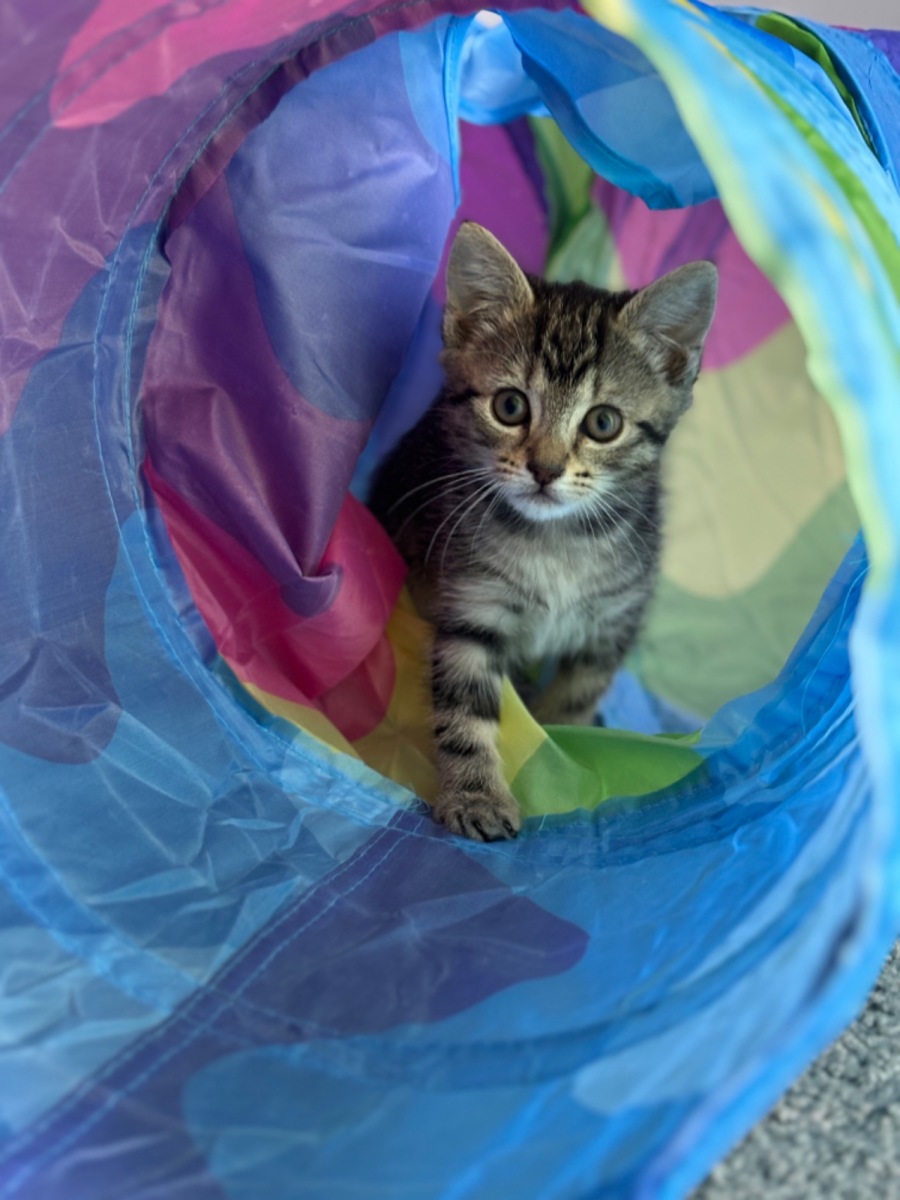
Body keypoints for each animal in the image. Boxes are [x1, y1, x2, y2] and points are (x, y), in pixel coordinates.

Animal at [370, 222, 717, 842]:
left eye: (603, 422)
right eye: (510, 407)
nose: (546, 469)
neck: (558, 542)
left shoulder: (613, 624)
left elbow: (576, 696)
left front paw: (566, 749)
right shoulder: (470, 607)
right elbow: (465, 713)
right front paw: (477, 796)